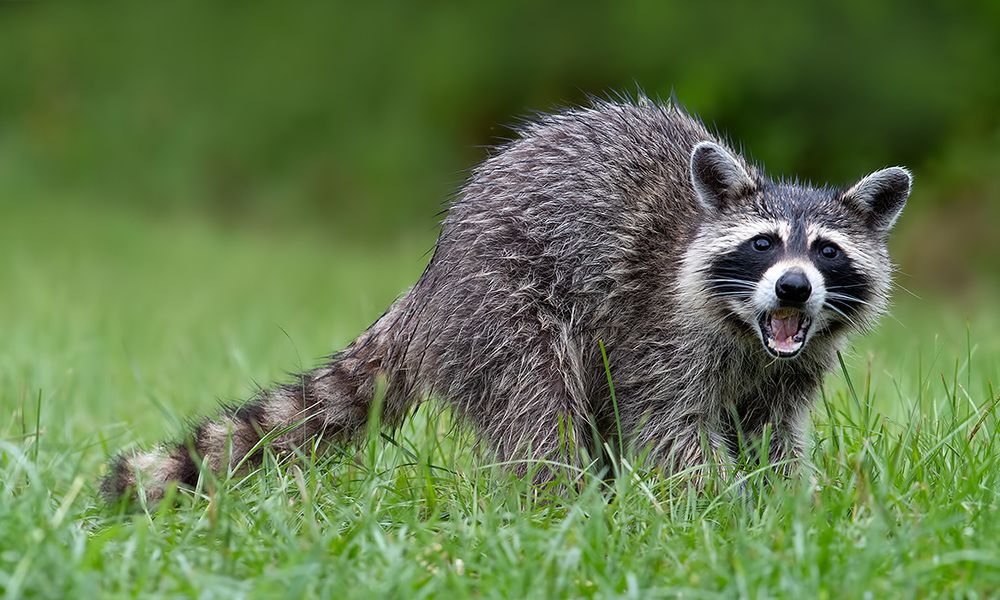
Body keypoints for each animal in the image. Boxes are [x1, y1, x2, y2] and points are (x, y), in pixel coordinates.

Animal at [102, 97, 911, 503]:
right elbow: (669, 431)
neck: (749, 333)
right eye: (765, 245)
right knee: (538, 405)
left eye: (826, 252)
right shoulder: (659, 332)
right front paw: (719, 509)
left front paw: (787, 508)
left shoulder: (789, 369)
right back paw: (560, 505)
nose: (794, 286)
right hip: (505, 303)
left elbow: (772, 438)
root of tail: (431, 279)